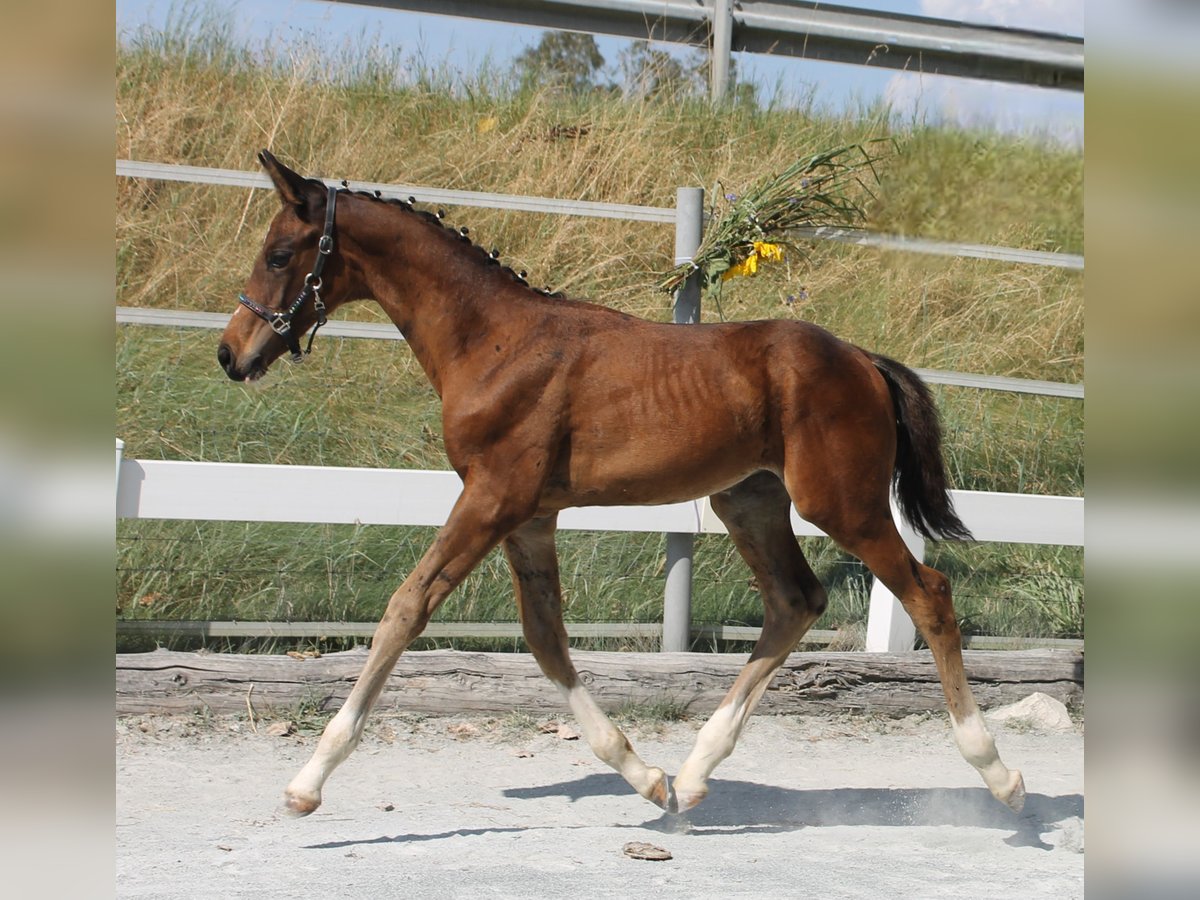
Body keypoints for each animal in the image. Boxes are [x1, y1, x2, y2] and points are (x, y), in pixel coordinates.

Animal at [220, 153, 1027, 816]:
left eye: (279, 253)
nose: (231, 353)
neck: (492, 342)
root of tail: (862, 359)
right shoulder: (528, 517)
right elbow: (546, 639)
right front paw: (645, 776)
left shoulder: (491, 499)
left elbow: (407, 608)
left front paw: (307, 782)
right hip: (748, 500)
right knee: (796, 601)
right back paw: (694, 776)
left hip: (842, 503)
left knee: (928, 594)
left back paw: (1000, 775)